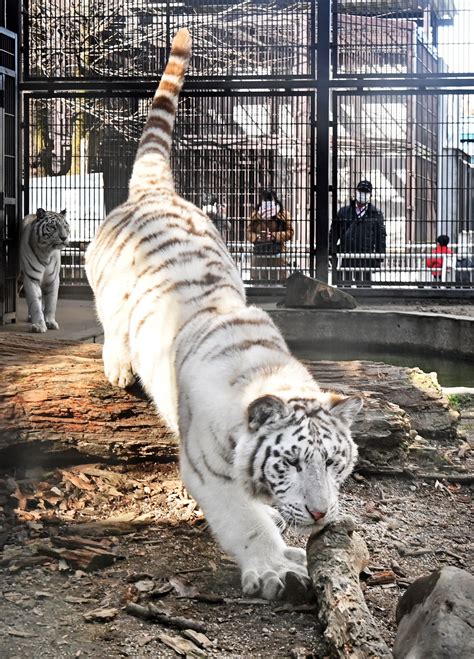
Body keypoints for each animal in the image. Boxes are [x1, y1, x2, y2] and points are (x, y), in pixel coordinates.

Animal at [84, 28, 362, 600]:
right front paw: (276, 568)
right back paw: (118, 365)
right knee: (110, 323)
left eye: (333, 462)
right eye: (291, 462)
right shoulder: (208, 469)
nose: (321, 513)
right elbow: (244, 521)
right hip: (98, 279)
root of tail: (156, 191)